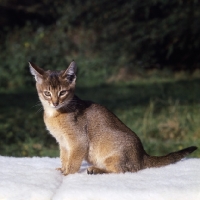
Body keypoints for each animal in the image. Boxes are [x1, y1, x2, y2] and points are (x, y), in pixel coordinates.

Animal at [28, 61, 198, 175]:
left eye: (62, 92)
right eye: (47, 93)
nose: (55, 102)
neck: (54, 114)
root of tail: (143, 155)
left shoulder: (78, 141)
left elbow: (73, 161)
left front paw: (67, 174)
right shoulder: (63, 143)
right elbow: (64, 157)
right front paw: (62, 169)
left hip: (113, 156)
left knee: (123, 171)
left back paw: (95, 170)